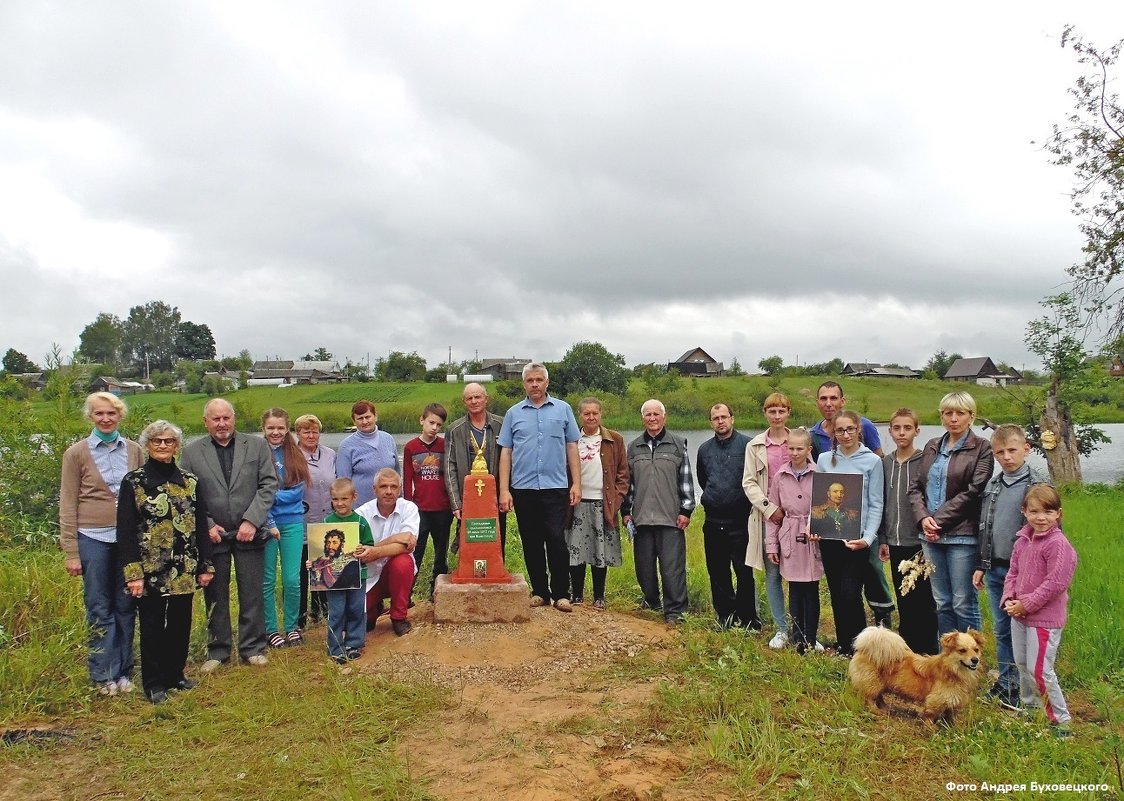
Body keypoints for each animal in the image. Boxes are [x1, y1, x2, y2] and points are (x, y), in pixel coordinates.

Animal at [849, 629, 984, 723]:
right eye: (962, 650)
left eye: (976, 650)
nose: (975, 660)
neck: (954, 670)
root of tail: (864, 649)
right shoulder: (936, 700)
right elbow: (930, 715)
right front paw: (931, 729)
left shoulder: (954, 700)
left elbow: (952, 716)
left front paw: (955, 727)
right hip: (873, 683)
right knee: (870, 699)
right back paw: (876, 711)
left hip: (880, 684)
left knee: (879, 696)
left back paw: (884, 708)